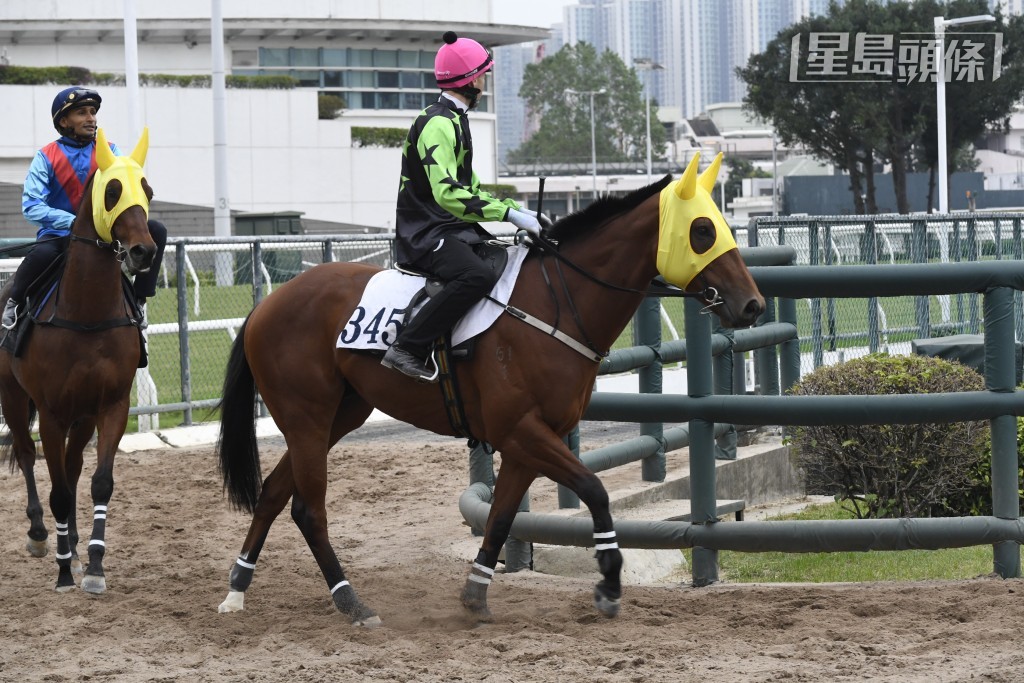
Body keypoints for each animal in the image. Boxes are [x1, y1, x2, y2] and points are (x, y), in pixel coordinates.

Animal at [0, 128, 156, 594]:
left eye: (147, 190)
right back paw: (39, 535)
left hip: (81, 414)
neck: (87, 316)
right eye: (113, 191)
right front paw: (65, 569)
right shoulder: (50, 411)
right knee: (27, 455)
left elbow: (98, 482)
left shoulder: (111, 405)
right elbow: (57, 490)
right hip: (13, 397)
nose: (143, 251)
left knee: (70, 467)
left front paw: (95, 565)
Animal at [216, 152, 765, 626]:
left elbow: (502, 518)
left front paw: (475, 595)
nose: (753, 305)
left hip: (336, 417)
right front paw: (609, 583)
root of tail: (265, 306)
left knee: (273, 494)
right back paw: (351, 602)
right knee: (308, 510)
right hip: (307, 418)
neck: (553, 303)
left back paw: (236, 591)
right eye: (701, 231)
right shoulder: (521, 430)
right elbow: (595, 489)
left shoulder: (529, 442)